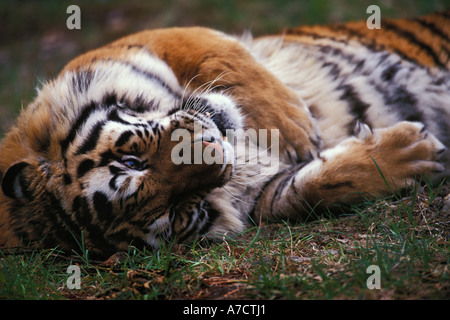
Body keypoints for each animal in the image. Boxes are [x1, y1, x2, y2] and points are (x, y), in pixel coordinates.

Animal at [0, 10, 448, 258]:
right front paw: (412, 157)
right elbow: (309, 188)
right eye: (175, 212)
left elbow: (212, 48)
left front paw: (295, 127)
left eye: (132, 161)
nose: (216, 151)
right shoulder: (262, 194)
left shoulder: (141, 43)